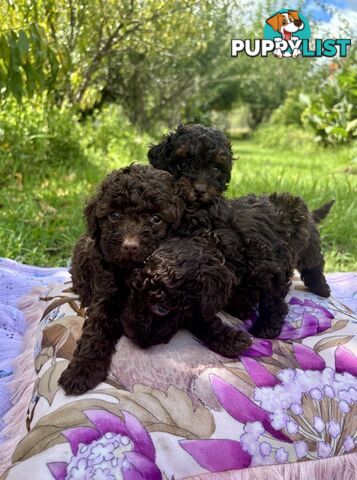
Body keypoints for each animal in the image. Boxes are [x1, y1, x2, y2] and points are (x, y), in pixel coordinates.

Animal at [58, 163, 184, 396]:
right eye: (114, 215)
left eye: (156, 218)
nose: (130, 245)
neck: (130, 270)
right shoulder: (106, 291)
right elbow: (96, 329)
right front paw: (81, 371)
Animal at [122, 193, 330, 354]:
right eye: (131, 295)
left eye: (161, 308)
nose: (131, 334)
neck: (216, 242)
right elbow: (200, 319)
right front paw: (229, 338)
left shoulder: (270, 271)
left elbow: (271, 301)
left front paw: (267, 326)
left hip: (308, 244)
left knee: (314, 263)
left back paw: (321, 288)